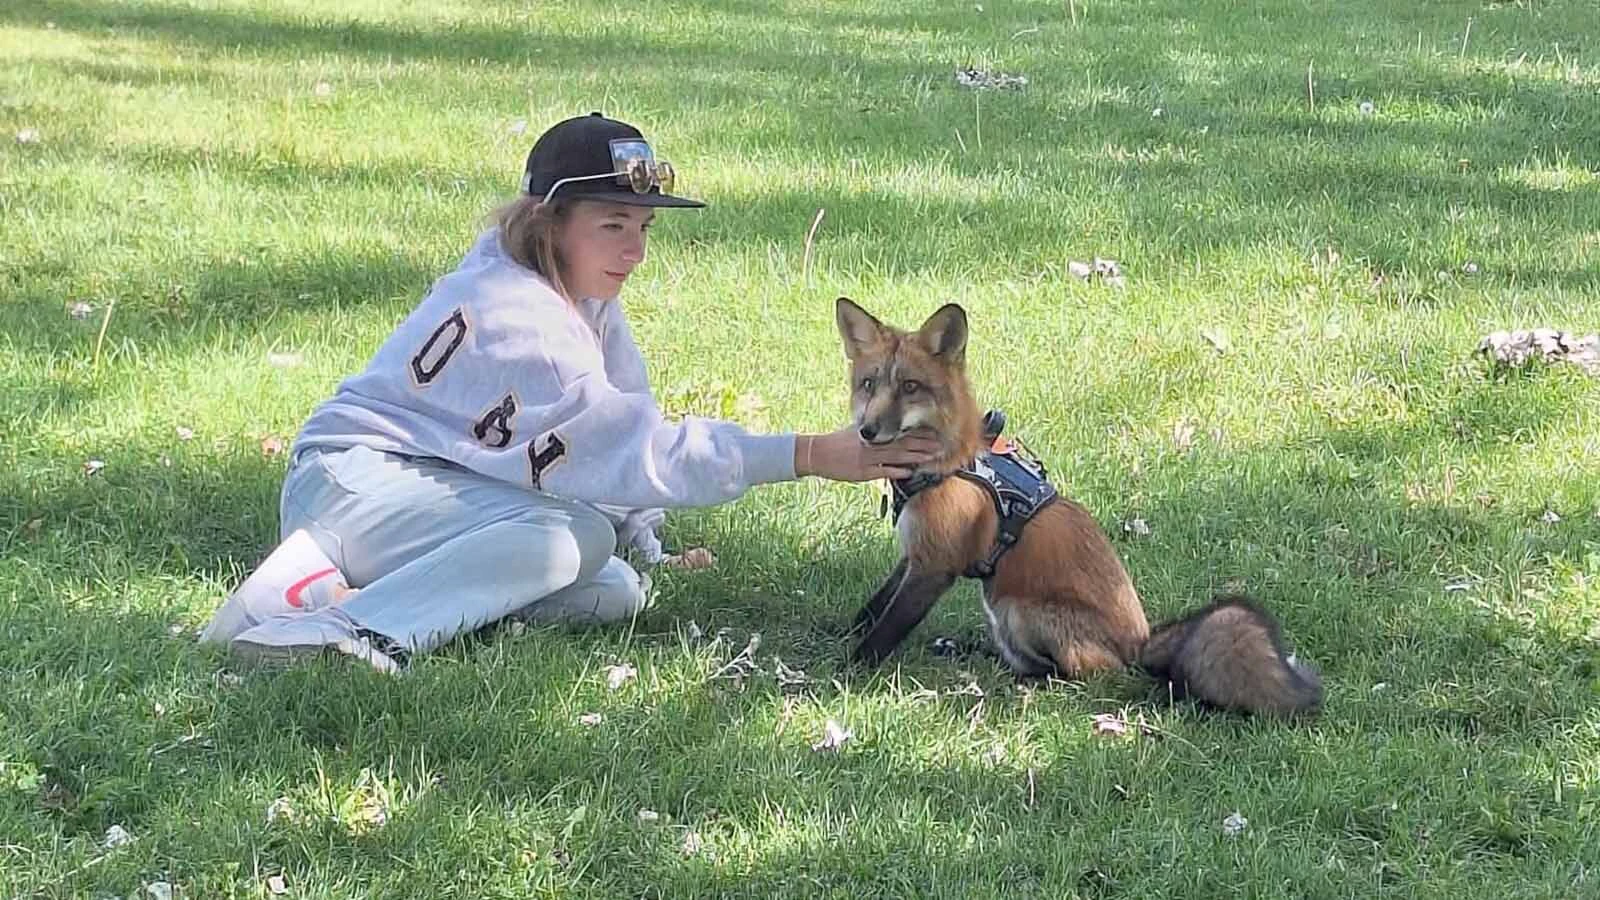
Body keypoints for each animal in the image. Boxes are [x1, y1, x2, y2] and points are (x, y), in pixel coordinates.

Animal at [834, 297, 1323, 716]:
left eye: (910, 387)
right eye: (869, 383)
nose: (867, 431)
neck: (947, 464)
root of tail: (1140, 643)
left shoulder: (935, 566)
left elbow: (884, 631)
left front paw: (846, 674)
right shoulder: (913, 554)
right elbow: (872, 609)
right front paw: (841, 636)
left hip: (1015, 608)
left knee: (1084, 673)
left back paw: (1032, 682)